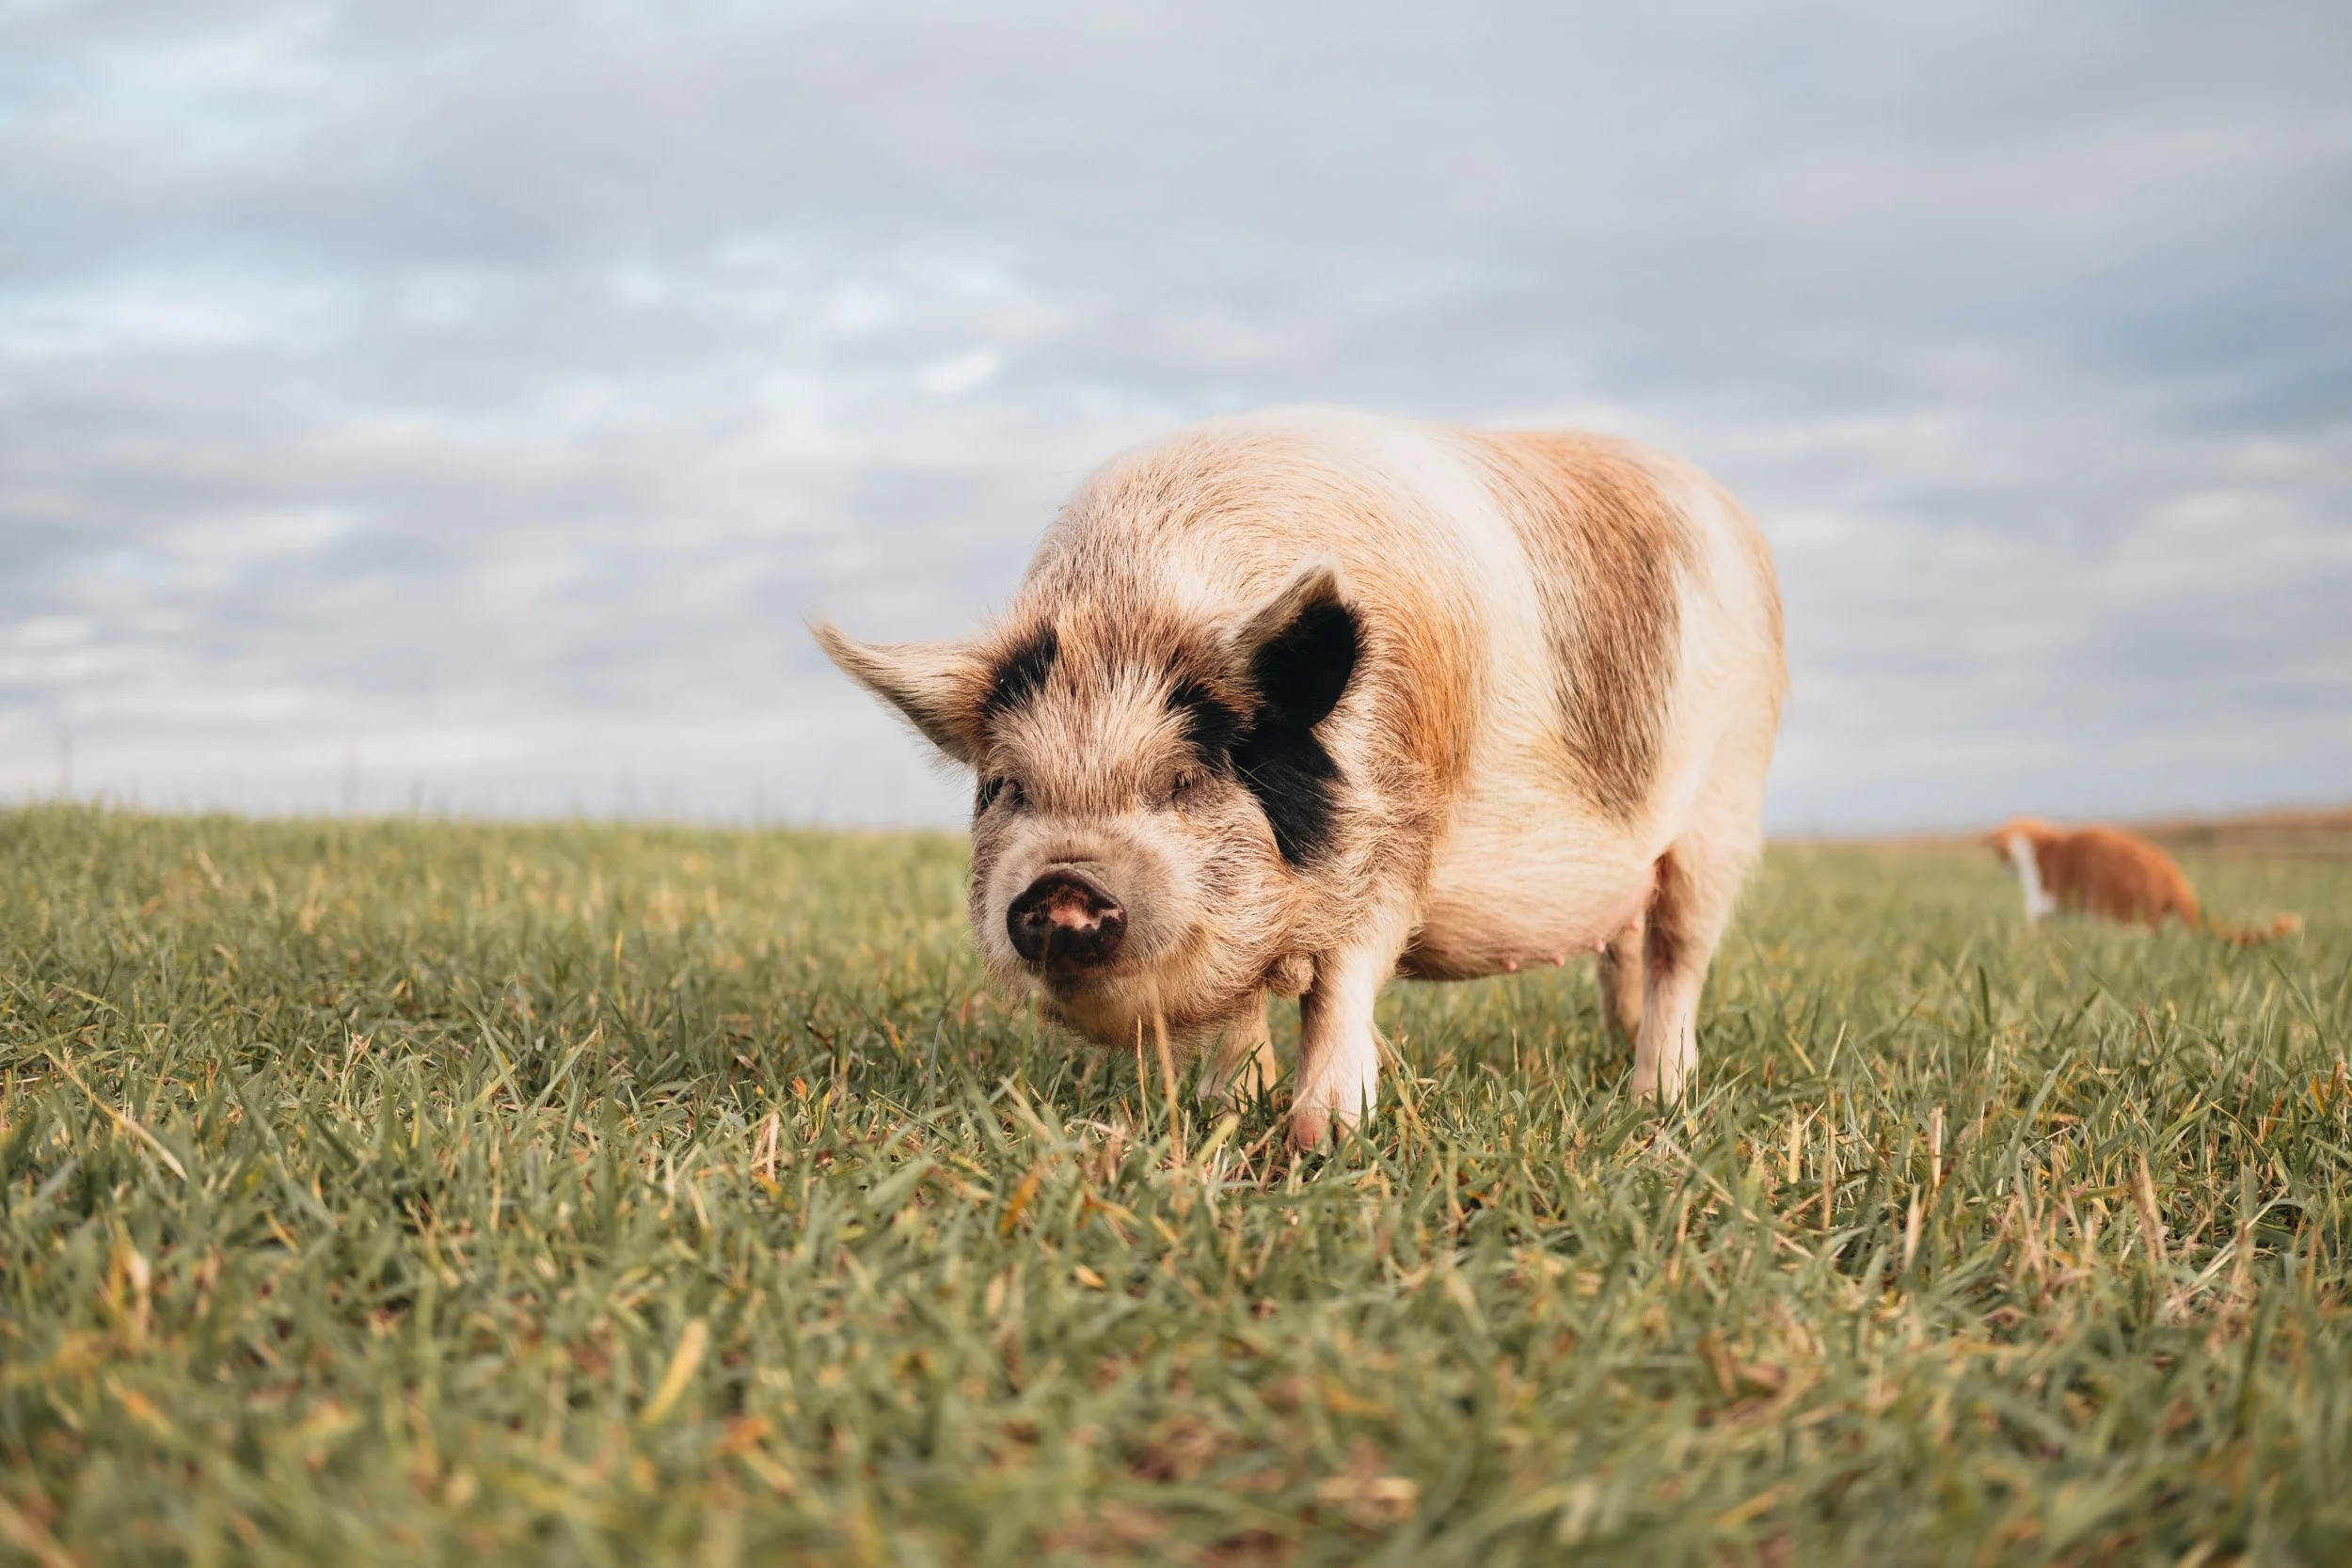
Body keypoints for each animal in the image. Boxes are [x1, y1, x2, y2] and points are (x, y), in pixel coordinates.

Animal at [812, 407, 1785, 1148]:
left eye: (1185, 780)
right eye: (1008, 788)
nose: (1061, 889)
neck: (1135, 606)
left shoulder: (1399, 825)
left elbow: (1341, 984)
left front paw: (1324, 1136)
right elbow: (1241, 1010)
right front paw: (1222, 1111)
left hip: (1729, 794)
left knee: (1679, 951)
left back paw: (1657, 1098)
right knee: (1628, 948)